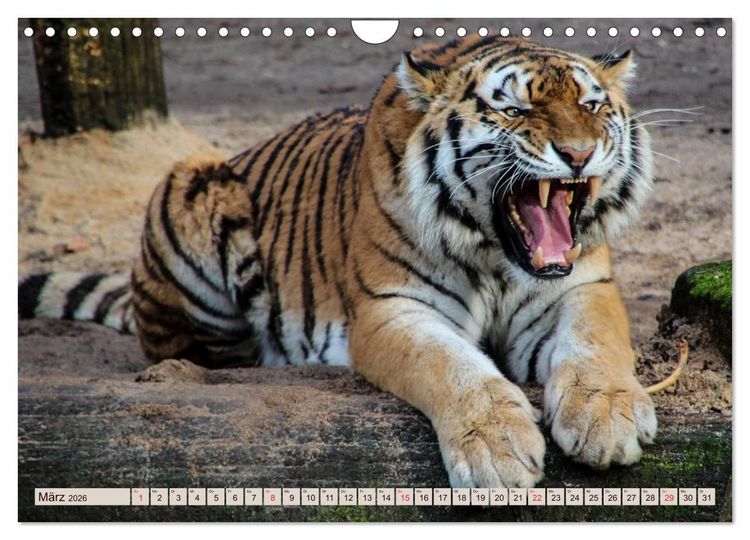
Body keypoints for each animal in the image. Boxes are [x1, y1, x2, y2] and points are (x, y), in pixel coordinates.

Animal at [19, 35, 658, 488]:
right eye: (515, 110)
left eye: (592, 105)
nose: (578, 153)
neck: (497, 255)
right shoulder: (392, 309)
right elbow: (454, 367)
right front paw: (496, 450)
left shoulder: (581, 287)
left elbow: (596, 344)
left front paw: (607, 419)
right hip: (191, 183)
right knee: (194, 352)